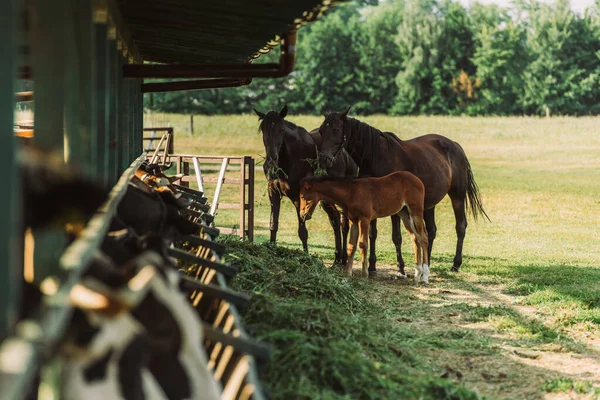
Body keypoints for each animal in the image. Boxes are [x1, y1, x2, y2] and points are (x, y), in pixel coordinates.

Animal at [253, 104, 356, 264]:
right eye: (263, 129)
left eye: (281, 130)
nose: (271, 160)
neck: (289, 158)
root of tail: (348, 157)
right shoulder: (273, 192)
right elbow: (273, 224)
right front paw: (272, 249)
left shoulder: (298, 196)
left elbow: (302, 231)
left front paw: (305, 256)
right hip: (326, 200)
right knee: (335, 220)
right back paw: (336, 260)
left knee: (344, 223)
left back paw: (343, 258)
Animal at [314, 107, 488, 276]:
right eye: (321, 131)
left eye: (336, 130)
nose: (323, 159)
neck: (376, 156)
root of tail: (455, 145)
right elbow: (372, 233)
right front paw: (372, 266)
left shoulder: (394, 206)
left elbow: (396, 237)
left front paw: (400, 267)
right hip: (428, 204)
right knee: (430, 231)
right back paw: (427, 264)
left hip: (457, 196)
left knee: (460, 226)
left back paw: (455, 264)